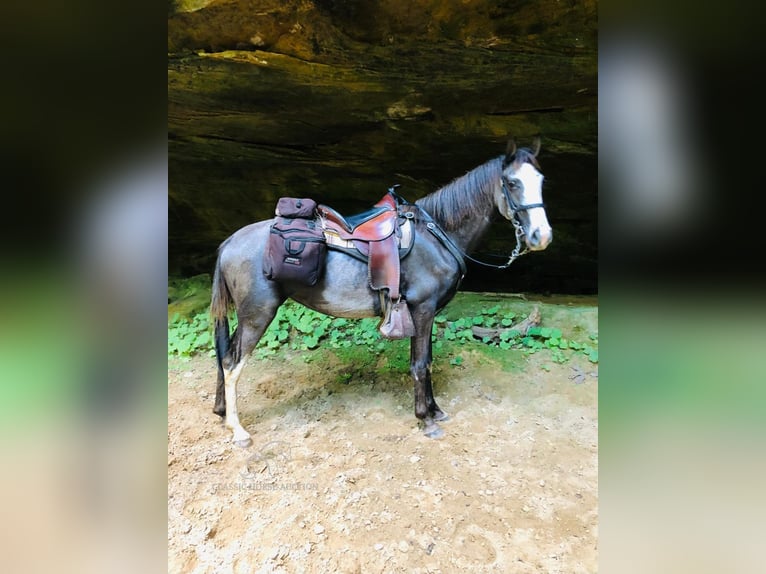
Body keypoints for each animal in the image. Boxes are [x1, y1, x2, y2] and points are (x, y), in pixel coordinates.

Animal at [210, 140, 552, 450]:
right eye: (512, 183)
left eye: (541, 181)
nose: (542, 236)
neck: (436, 234)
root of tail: (229, 242)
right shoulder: (423, 309)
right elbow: (420, 364)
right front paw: (425, 420)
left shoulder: (424, 313)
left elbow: (426, 361)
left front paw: (435, 411)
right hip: (258, 313)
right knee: (232, 364)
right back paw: (238, 431)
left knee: (225, 355)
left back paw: (223, 413)